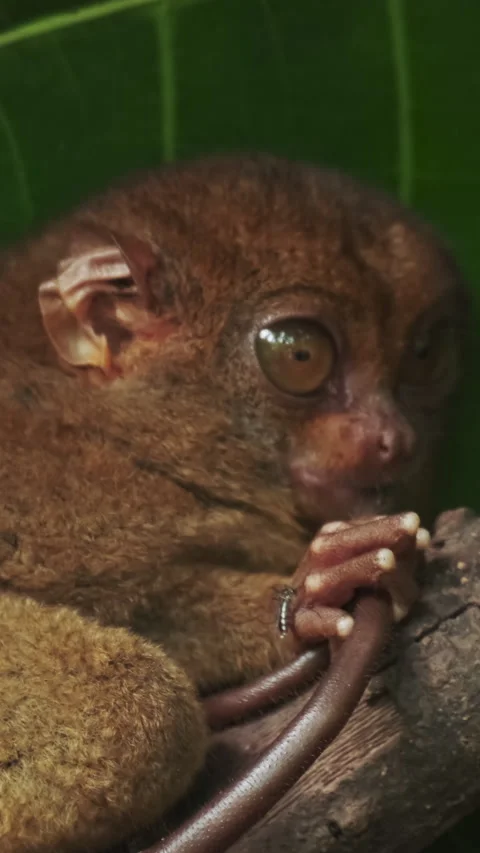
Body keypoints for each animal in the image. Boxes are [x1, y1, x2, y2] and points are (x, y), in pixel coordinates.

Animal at [0, 154, 467, 853]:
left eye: (427, 355)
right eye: (300, 354)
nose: (395, 439)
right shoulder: (65, 499)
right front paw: (313, 587)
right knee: (139, 713)